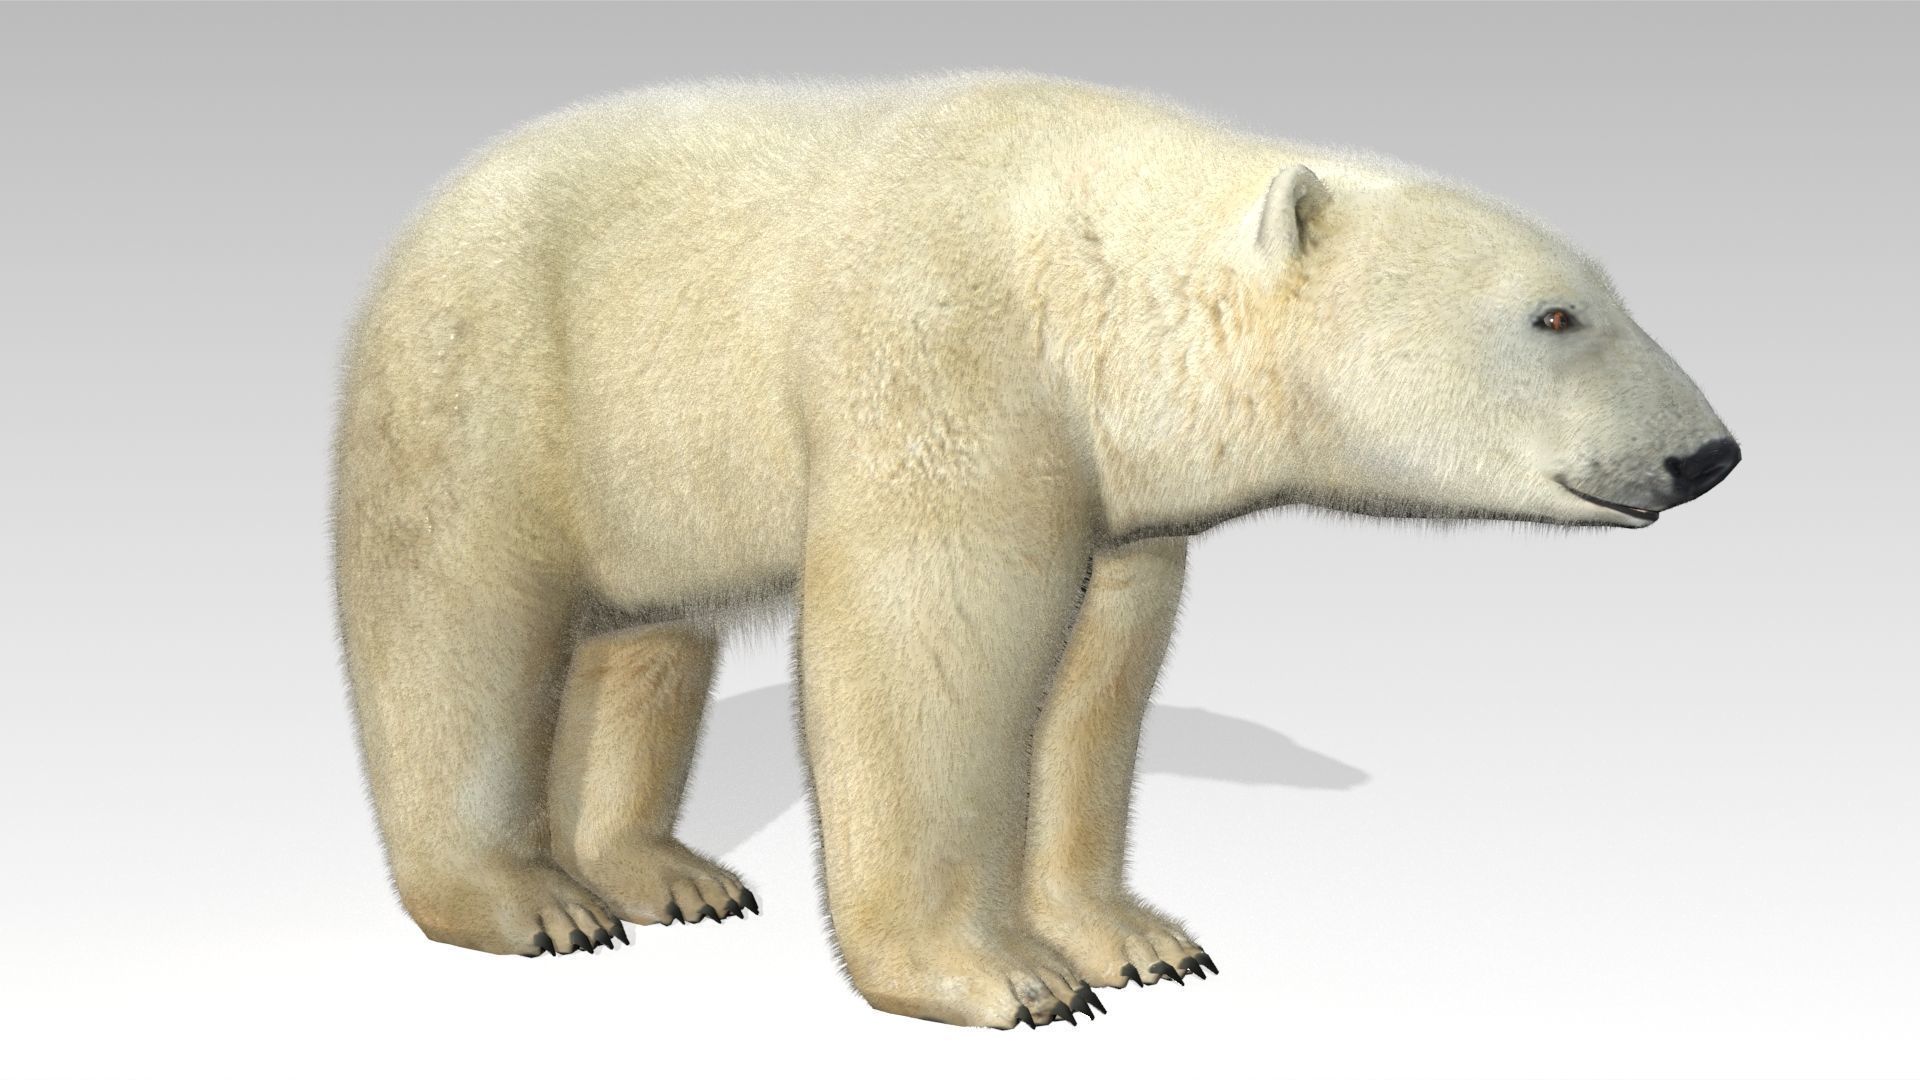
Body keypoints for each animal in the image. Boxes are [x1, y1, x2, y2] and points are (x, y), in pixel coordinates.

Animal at [331, 71, 1740, 1029]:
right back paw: (530, 902)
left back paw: (663, 876)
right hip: (495, 368)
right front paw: (1000, 977)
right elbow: (931, 654)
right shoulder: (946, 362)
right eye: (1555, 316)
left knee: (648, 635)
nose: (1710, 456)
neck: (1088, 275)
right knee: (456, 621)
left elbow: (1097, 685)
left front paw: (1140, 942)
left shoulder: (1119, 488)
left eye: (1608, 297)